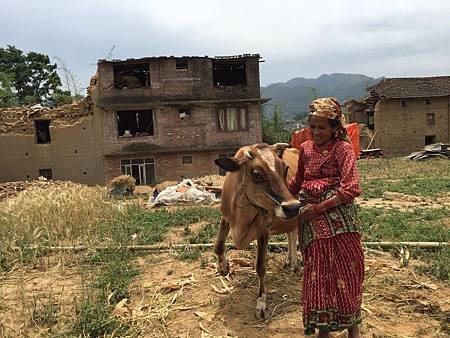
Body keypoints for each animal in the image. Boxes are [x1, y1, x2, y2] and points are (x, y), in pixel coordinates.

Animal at [214, 143, 300, 320]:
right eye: (257, 175)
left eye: (285, 169)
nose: (293, 207)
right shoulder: (225, 217)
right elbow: (218, 245)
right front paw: (223, 267)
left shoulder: (263, 229)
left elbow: (260, 266)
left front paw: (261, 304)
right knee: (291, 233)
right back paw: (289, 261)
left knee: (294, 232)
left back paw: (294, 264)